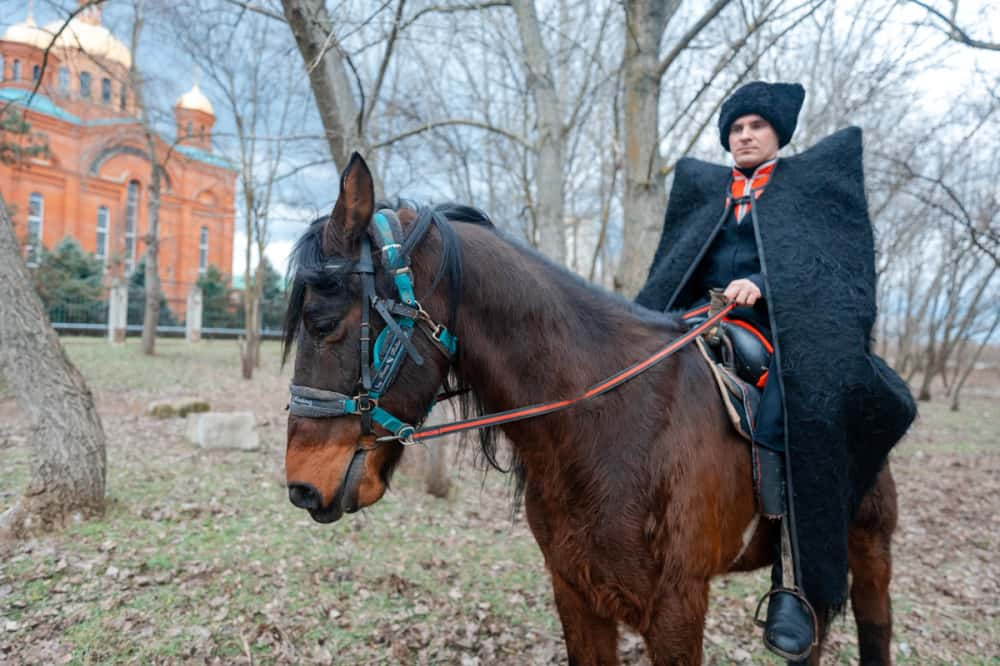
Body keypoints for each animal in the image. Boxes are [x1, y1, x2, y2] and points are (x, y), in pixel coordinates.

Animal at [284, 153, 900, 660]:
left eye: (324, 323)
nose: (302, 487)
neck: (610, 427)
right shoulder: (577, 594)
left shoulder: (676, 609)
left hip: (867, 548)